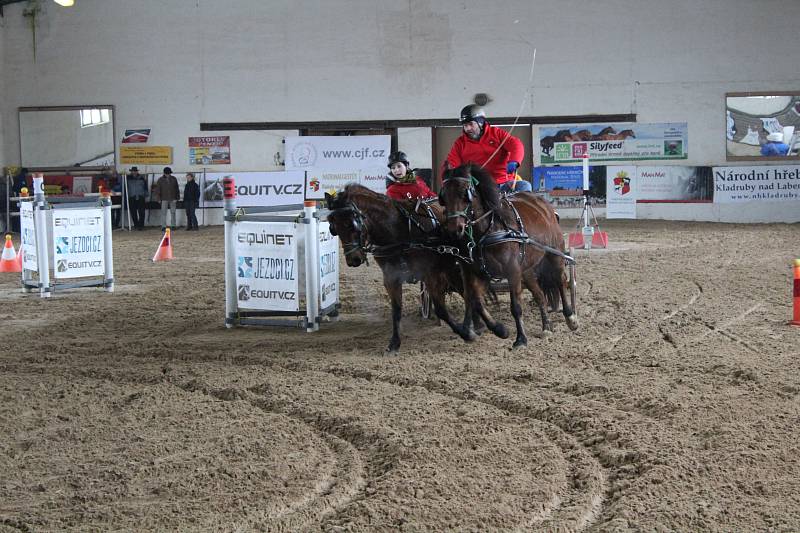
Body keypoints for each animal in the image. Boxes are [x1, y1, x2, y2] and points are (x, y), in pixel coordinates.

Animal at [324, 183, 506, 354]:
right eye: (334, 227)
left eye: (352, 224)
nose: (353, 260)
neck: (398, 231)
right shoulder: (391, 278)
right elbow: (396, 310)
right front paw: (394, 344)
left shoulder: (430, 275)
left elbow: (441, 309)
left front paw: (466, 333)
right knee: (467, 292)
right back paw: (477, 323)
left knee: (468, 293)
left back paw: (480, 325)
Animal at [440, 166, 580, 350]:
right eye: (443, 196)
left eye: (465, 193)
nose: (454, 230)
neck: (489, 229)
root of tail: (542, 203)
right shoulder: (476, 272)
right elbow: (475, 300)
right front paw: (499, 330)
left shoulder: (512, 271)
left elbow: (516, 307)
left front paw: (520, 339)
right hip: (527, 269)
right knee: (540, 295)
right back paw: (546, 327)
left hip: (554, 254)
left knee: (561, 281)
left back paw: (571, 318)